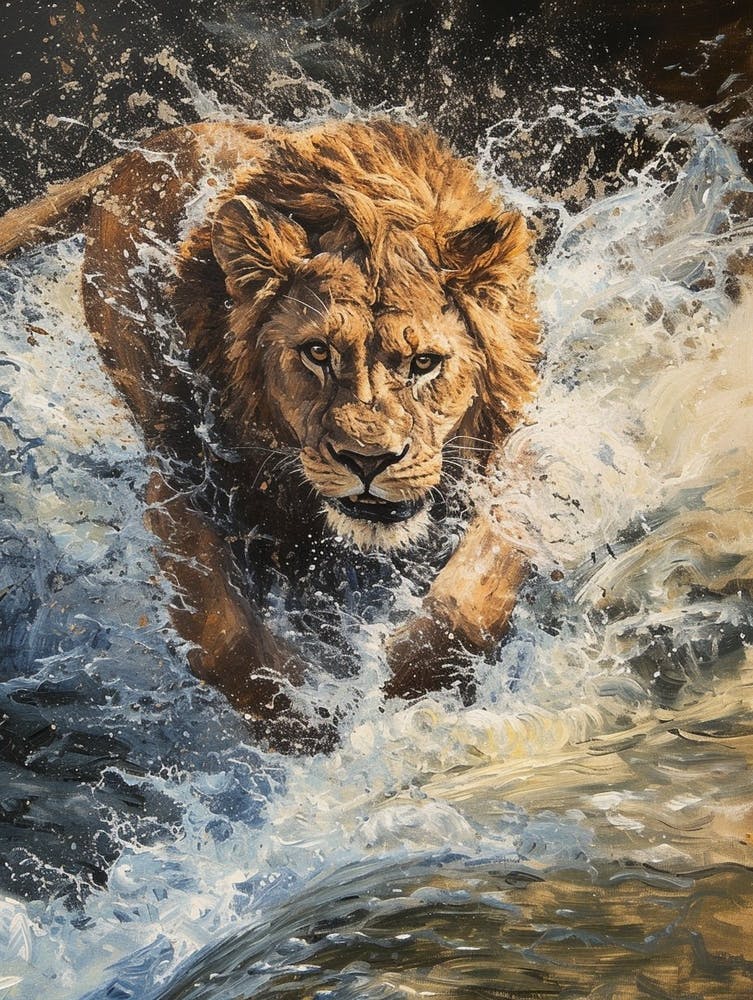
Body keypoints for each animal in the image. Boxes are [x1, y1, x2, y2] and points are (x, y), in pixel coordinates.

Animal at [0, 119, 539, 751]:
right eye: (317, 353)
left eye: (424, 363)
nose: (368, 460)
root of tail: (166, 137)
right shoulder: (181, 478)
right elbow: (224, 634)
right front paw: (305, 724)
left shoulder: (514, 461)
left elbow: (469, 599)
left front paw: (406, 686)